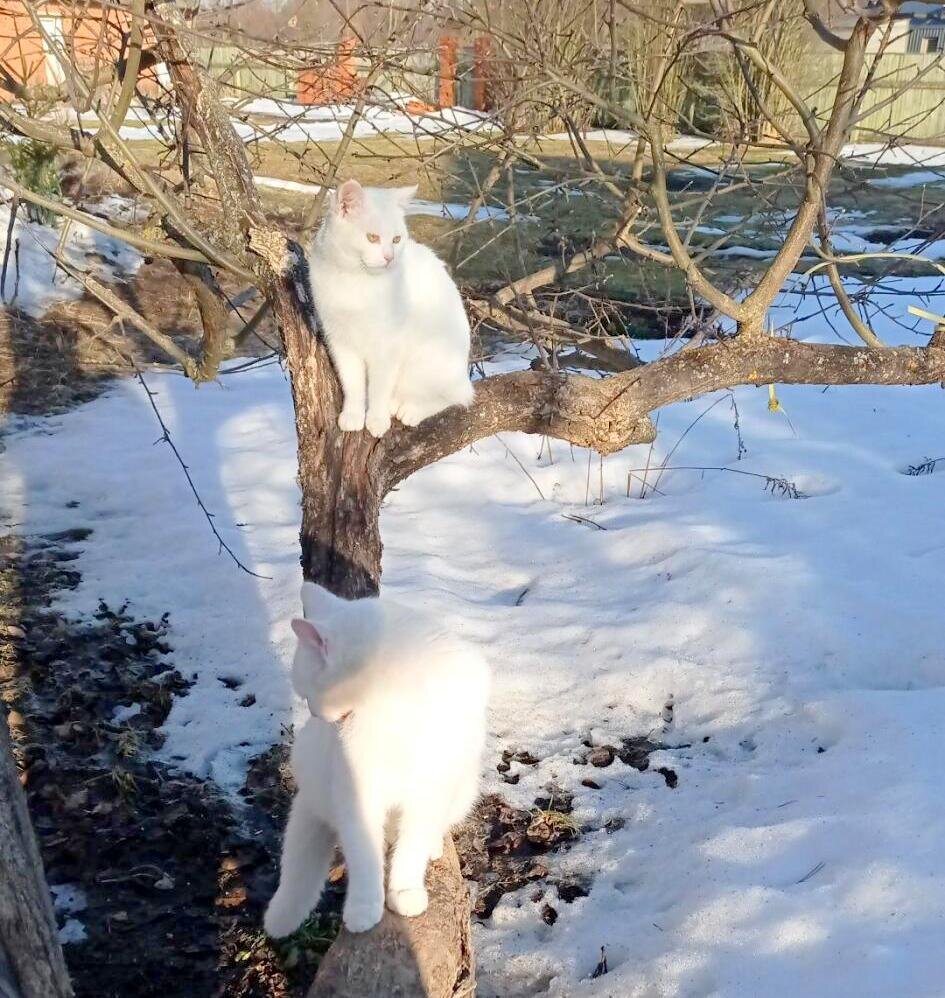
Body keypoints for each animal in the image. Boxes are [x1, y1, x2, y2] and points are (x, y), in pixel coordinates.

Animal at [264, 584, 490, 940]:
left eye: (307, 692)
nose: (314, 714)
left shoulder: (429, 791)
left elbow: (411, 848)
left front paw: (405, 892)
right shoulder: (357, 796)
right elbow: (365, 855)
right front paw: (364, 909)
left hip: (461, 792)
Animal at [306, 178, 476, 436]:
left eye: (396, 239)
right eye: (372, 238)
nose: (389, 258)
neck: (356, 280)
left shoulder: (387, 347)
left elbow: (379, 388)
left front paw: (376, 419)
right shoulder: (340, 341)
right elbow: (352, 383)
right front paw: (353, 415)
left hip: (427, 361)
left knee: (455, 396)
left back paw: (408, 410)